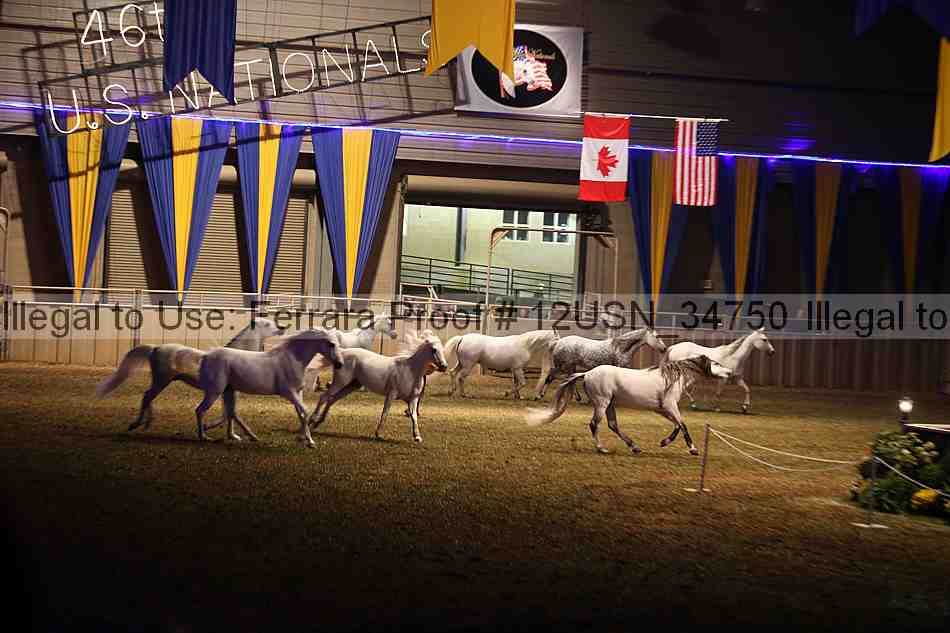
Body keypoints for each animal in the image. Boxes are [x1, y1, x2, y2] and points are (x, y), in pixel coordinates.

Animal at [95, 317, 286, 432]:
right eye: (267, 324)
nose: (282, 328)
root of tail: (155, 348)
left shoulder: (227, 391)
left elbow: (229, 413)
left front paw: (229, 434)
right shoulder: (226, 391)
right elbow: (227, 413)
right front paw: (209, 427)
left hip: (160, 381)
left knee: (147, 397)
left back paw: (147, 423)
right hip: (161, 381)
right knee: (147, 396)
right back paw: (138, 424)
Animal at [194, 329, 342, 447]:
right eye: (331, 344)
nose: (339, 364)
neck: (292, 359)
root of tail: (206, 355)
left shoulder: (298, 393)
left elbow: (301, 414)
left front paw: (304, 438)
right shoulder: (289, 393)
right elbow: (305, 411)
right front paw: (310, 442)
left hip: (228, 390)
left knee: (230, 412)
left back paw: (240, 436)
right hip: (215, 391)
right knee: (200, 410)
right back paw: (204, 437)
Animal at [308, 331, 449, 444]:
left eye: (442, 349)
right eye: (434, 349)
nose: (444, 366)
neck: (410, 370)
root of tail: (342, 352)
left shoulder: (412, 400)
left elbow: (414, 417)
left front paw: (417, 437)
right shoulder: (391, 395)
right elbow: (385, 413)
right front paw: (378, 434)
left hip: (351, 385)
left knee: (332, 399)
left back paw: (318, 422)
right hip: (340, 382)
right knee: (324, 397)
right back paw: (311, 421)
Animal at [525, 356, 733, 455]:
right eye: (716, 363)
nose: (730, 372)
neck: (673, 378)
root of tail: (588, 373)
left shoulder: (663, 409)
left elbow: (676, 425)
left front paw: (664, 442)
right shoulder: (670, 407)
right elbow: (683, 425)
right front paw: (693, 449)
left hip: (610, 405)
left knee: (612, 425)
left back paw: (635, 447)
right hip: (602, 403)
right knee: (594, 424)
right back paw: (602, 449)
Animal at [537, 328, 667, 399]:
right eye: (657, 336)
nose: (664, 349)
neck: (621, 348)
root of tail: (559, 342)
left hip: (570, 366)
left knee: (570, 379)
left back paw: (578, 398)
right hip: (562, 366)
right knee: (551, 376)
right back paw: (539, 395)